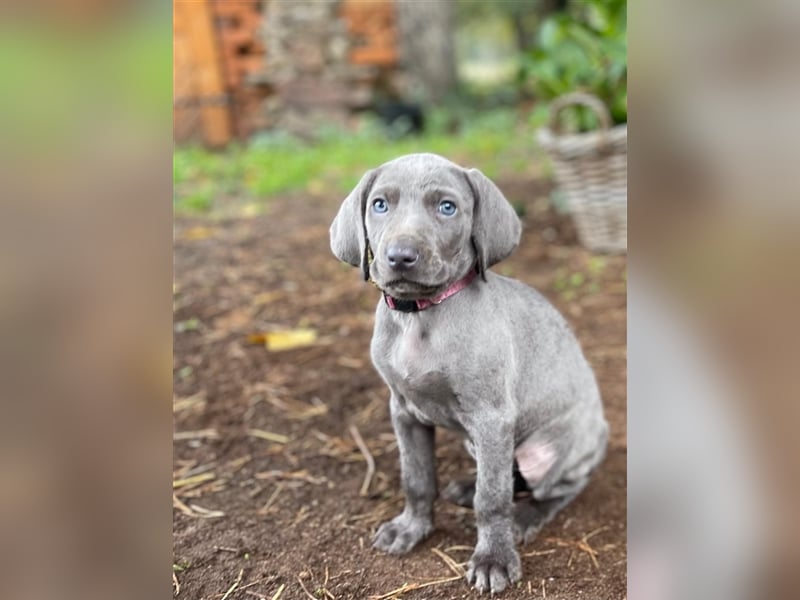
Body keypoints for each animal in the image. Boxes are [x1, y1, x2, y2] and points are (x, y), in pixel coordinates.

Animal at [330, 152, 608, 592]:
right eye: (380, 205)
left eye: (447, 208)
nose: (401, 256)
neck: (420, 316)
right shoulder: (404, 412)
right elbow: (417, 478)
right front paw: (411, 528)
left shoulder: (492, 417)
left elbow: (491, 498)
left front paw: (493, 559)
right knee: (508, 474)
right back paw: (464, 485)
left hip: (549, 449)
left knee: (555, 488)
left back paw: (524, 517)